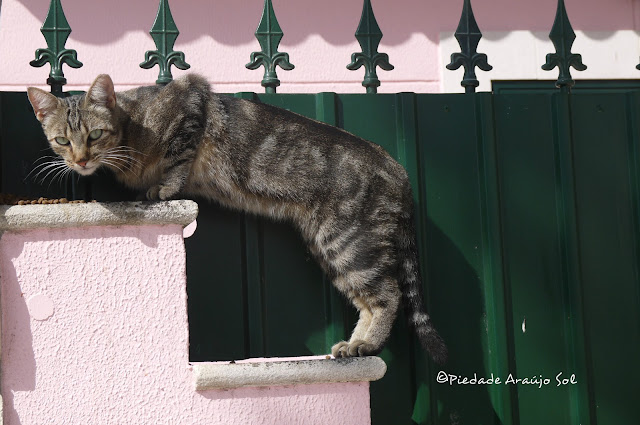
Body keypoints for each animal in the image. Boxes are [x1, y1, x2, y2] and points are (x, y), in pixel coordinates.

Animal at [27, 74, 448, 364]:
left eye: (95, 134)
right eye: (62, 140)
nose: (81, 160)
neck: (131, 130)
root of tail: (398, 168)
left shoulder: (190, 98)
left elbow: (177, 163)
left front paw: (163, 188)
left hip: (349, 242)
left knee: (388, 295)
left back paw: (365, 344)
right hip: (329, 247)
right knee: (369, 297)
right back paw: (357, 343)